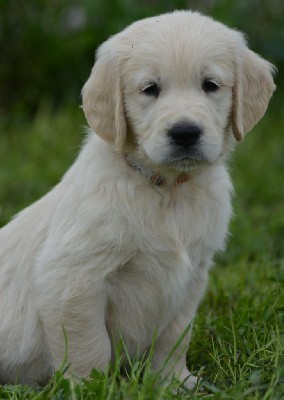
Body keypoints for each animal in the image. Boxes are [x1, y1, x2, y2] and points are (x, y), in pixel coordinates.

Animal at [0, 10, 276, 388]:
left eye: (210, 85)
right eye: (150, 89)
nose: (185, 132)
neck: (166, 190)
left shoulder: (193, 276)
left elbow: (175, 335)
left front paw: (174, 382)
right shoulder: (72, 277)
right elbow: (89, 344)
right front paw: (91, 387)